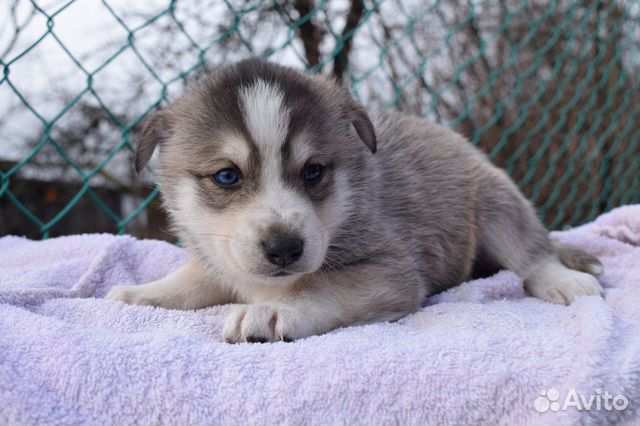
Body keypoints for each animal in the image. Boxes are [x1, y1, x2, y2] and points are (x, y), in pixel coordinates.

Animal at [104, 58, 600, 342]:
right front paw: (140, 293)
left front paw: (273, 311)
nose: (285, 249)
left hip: (498, 203)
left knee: (533, 253)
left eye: (313, 171)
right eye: (227, 176)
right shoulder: (219, 255)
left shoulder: (389, 269)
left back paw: (565, 279)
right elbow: (194, 278)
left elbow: (319, 288)